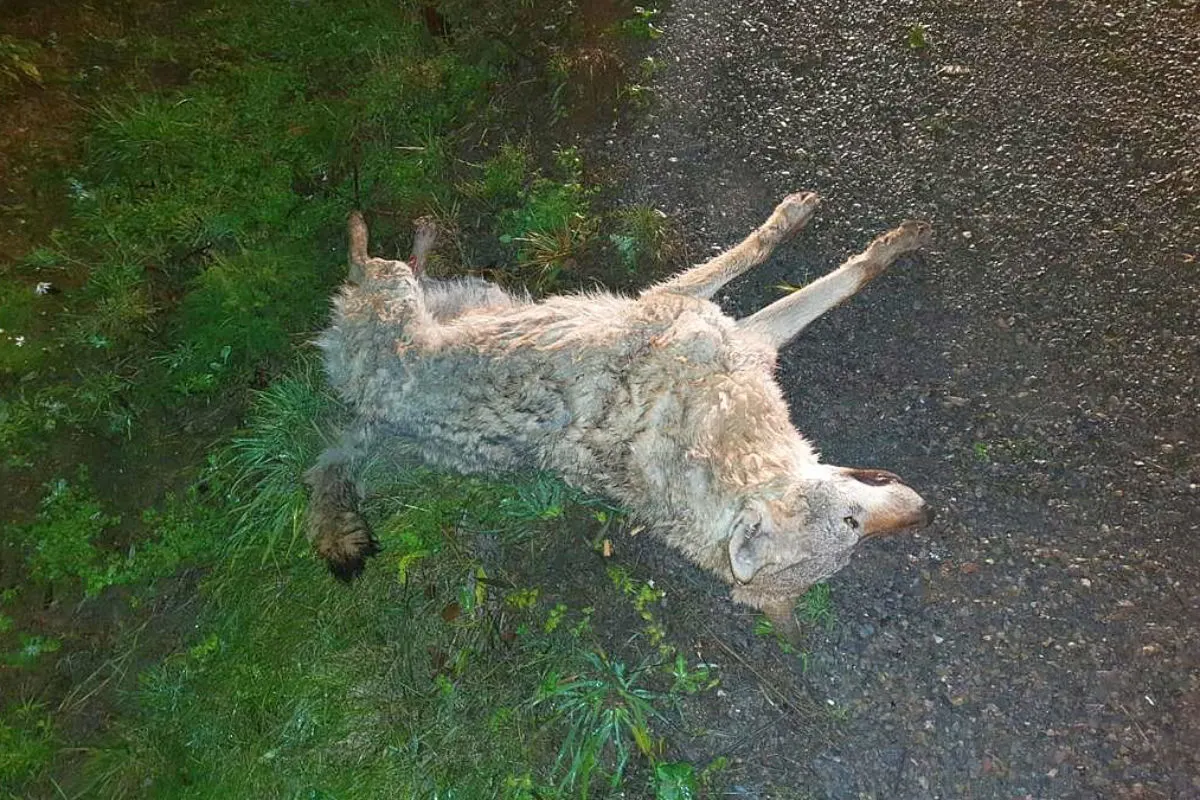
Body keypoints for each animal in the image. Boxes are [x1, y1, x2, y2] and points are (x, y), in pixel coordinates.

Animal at [305, 192, 934, 639]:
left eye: (855, 542)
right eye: (852, 524)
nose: (924, 514)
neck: (710, 444)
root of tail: (370, 415)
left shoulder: (747, 343)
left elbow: (827, 285)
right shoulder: (690, 306)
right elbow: (766, 258)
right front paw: (829, 229)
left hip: (465, 294)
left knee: (396, 266)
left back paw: (420, 235)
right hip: (407, 293)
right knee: (366, 263)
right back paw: (375, 228)